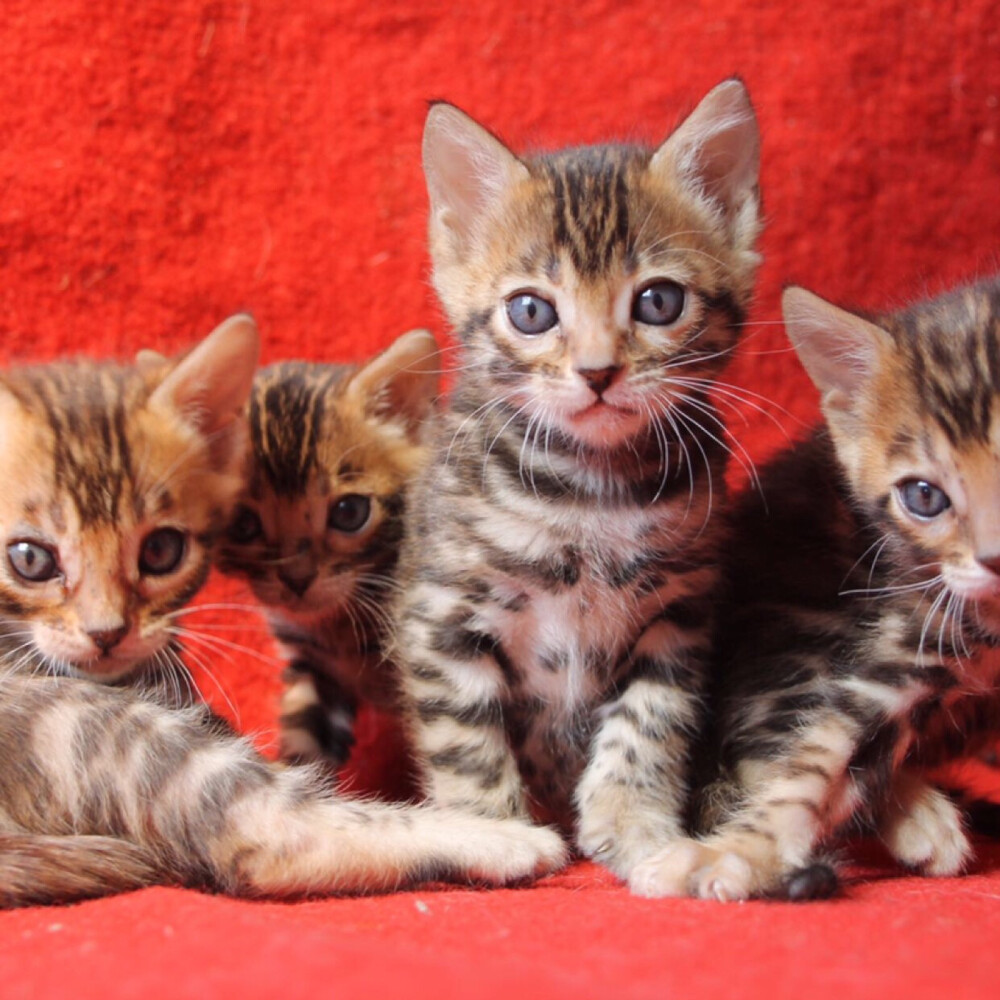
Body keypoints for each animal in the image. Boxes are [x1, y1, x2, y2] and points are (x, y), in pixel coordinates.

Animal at [392, 80, 764, 884]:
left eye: (658, 301)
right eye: (532, 311)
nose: (598, 372)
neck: (588, 491)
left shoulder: (679, 613)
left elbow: (648, 724)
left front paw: (635, 824)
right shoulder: (442, 617)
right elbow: (465, 742)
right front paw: (490, 833)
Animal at [632, 278, 1000, 904]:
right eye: (925, 497)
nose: (994, 559)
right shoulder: (918, 626)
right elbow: (817, 763)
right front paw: (735, 853)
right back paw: (919, 815)